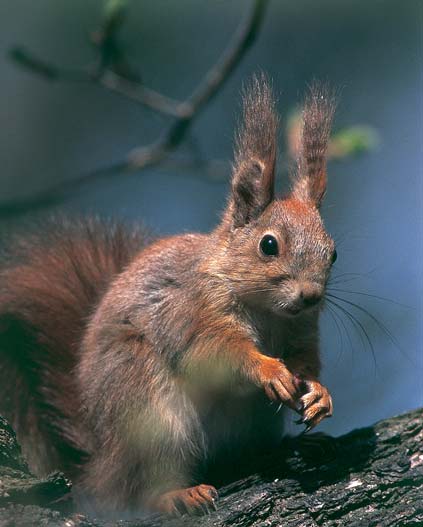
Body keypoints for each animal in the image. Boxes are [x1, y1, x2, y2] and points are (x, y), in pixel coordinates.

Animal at [0, 76, 338, 516]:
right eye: (268, 245)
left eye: (333, 253)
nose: (312, 296)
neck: (269, 312)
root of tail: (101, 464)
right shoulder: (190, 312)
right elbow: (215, 353)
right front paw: (267, 370)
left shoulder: (302, 329)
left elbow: (306, 359)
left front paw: (319, 392)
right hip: (151, 410)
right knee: (141, 487)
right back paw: (178, 494)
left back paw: (287, 449)